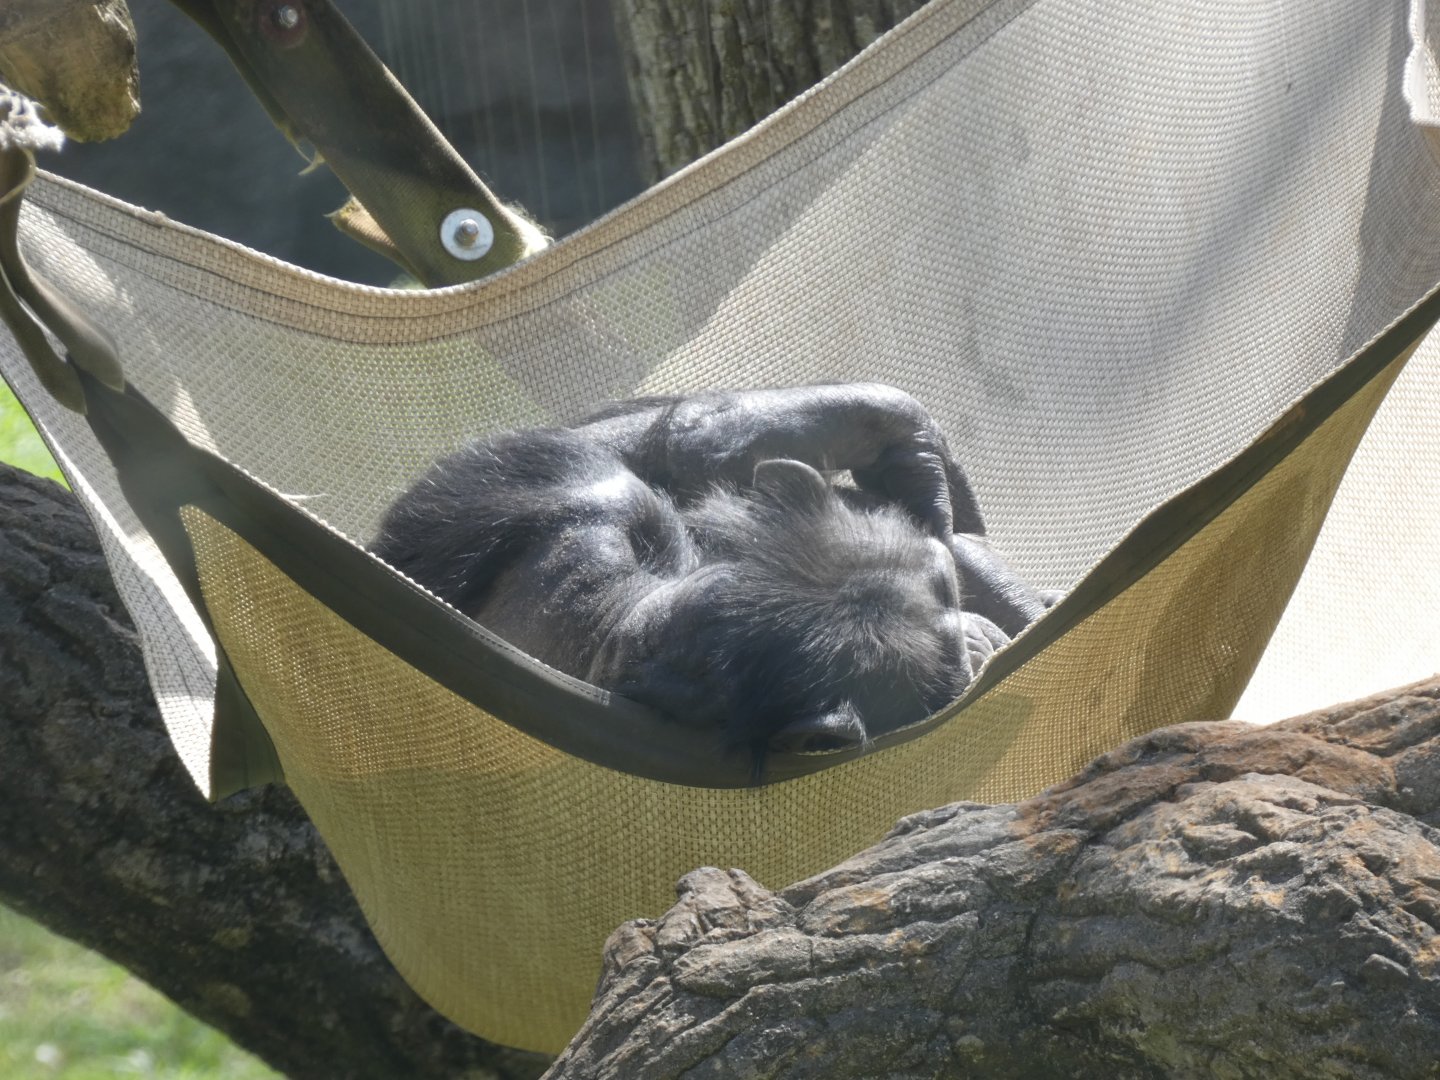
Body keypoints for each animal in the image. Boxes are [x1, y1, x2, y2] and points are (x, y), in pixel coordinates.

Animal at [371, 384, 1050, 760]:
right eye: (952, 665)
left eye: (946, 589)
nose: (973, 636)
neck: (626, 614)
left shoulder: (578, 481)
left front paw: (899, 434)